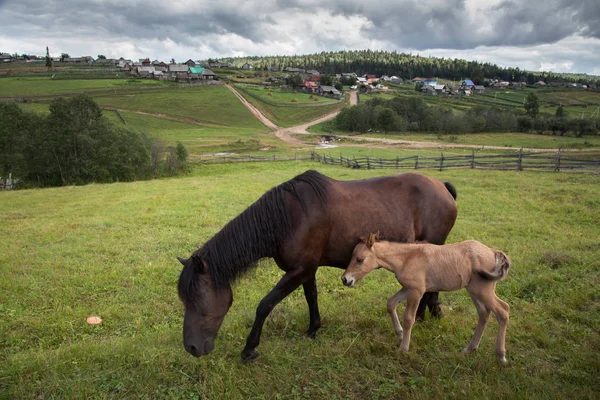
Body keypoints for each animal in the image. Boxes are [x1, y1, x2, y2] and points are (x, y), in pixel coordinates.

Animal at [342, 233, 510, 364]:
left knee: (503, 310)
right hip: (474, 291)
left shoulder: (417, 291)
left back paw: (501, 357)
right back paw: (469, 348)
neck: (407, 258)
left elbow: (409, 318)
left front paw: (404, 348)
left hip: (482, 290)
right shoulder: (407, 288)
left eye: (360, 259)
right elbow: (390, 303)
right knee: (484, 313)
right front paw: (400, 334)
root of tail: (493, 252)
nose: (345, 279)